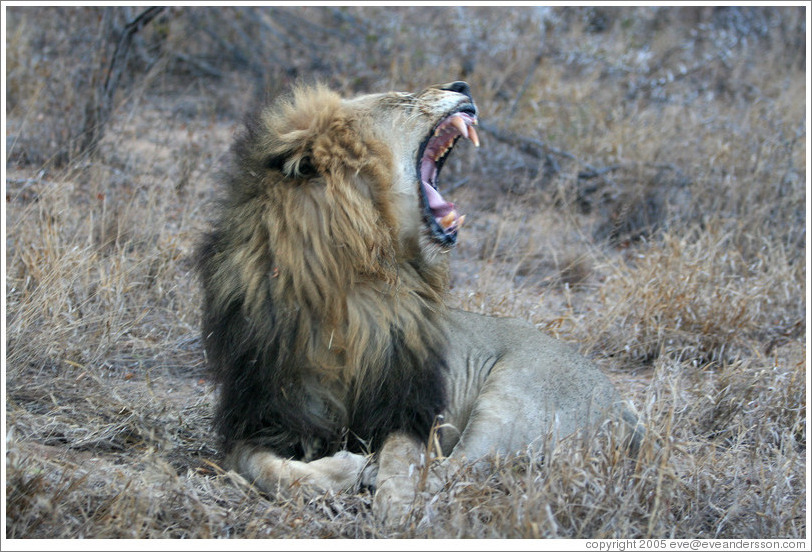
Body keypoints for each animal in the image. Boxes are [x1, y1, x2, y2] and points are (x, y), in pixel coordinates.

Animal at [197, 81, 641, 523]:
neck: (355, 285)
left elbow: (403, 457)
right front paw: (347, 470)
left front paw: (392, 503)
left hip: (515, 397)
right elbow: (260, 466)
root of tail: (622, 405)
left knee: (456, 468)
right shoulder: (262, 414)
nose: (461, 85)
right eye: (402, 99)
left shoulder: (411, 405)